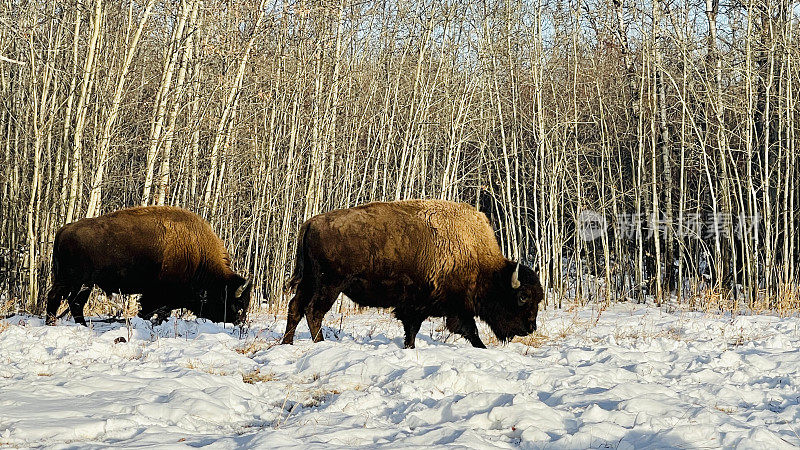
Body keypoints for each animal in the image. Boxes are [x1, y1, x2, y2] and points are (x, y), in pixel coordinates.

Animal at [45, 207, 252, 326]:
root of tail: (65, 229)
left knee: (75, 303)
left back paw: (83, 326)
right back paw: (51, 323)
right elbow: (152, 310)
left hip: (85, 283)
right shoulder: (158, 294)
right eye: (236, 304)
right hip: (71, 279)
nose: (239, 323)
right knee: (55, 297)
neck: (197, 251)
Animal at [282, 199, 544, 350]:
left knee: (295, 307)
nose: (530, 327)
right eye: (522, 297)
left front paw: (408, 347)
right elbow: (469, 330)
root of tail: (310, 223)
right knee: (313, 311)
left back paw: (287, 343)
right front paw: (482, 349)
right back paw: (319, 343)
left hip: (310, 281)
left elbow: (414, 330)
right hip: (330, 285)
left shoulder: (422, 306)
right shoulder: (444, 306)